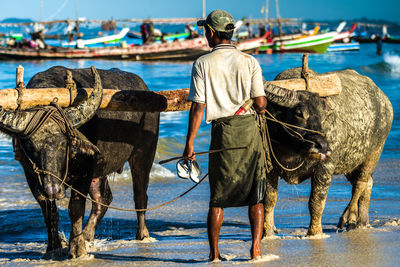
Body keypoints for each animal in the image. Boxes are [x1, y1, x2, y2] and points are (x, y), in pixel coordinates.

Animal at [7, 66, 159, 258]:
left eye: (63, 144)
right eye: (31, 146)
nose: (53, 190)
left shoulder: (85, 170)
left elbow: (75, 208)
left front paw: (77, 248)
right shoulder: (33, 177)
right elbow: (49, 212)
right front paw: (53, 247)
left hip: (143, 155)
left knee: (140, 196)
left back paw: (142, 235)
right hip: (100, 168)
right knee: (103, 198)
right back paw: (87, 236)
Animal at [262, 68, 394, 238]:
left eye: (323, 116)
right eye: (299, 113)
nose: (323, 146)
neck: (294, 150)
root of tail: (385, 101)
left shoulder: (325, 167)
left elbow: (316, 202)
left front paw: (315, 232)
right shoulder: (269, 167)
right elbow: (269, 199)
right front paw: (268, 232)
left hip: (374, 153)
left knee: (360, 184)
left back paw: (350, 218)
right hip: (350, 162)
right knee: (368, 183)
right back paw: (362, 222)